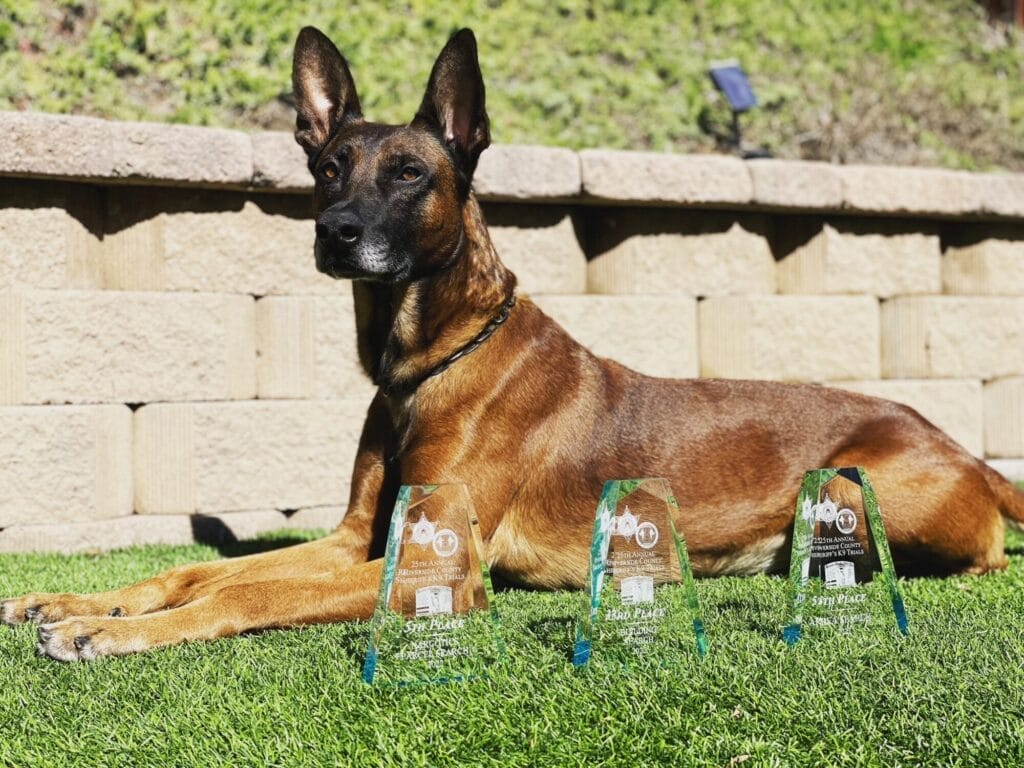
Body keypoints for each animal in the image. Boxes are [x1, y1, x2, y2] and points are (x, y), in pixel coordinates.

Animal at [4, 27, 1022, 661]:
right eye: (327, 167)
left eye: (408, 173)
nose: (335, 231)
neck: (427, 365)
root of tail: (960, 446)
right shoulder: (353, 541)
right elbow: (198, 569)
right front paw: (78, 603)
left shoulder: (433, 561)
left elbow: (243, 594)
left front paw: (111, 632)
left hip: (853, 492)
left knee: (982, 558)